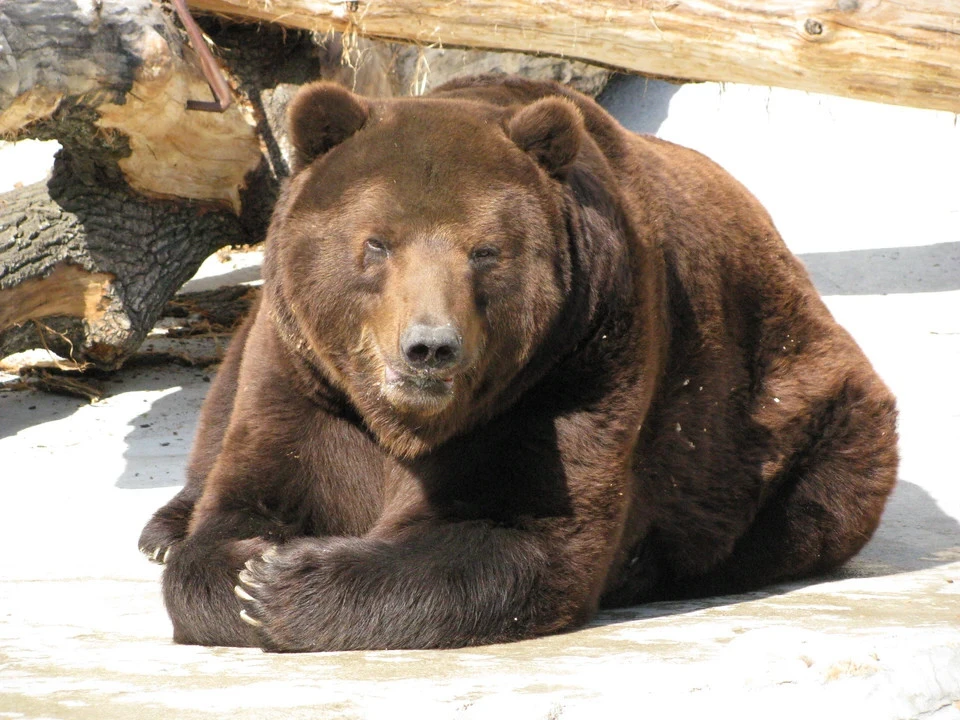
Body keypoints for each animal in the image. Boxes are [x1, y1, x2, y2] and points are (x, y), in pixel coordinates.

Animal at [139, 74, 898, 652]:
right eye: (377, 243)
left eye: (485, 251)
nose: (430, 346)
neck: (404, 424)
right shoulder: (312, 384)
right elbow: (244, 505)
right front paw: (245, 567)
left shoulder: (576, 366)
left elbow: (524, 536)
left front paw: (282, 582)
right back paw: (162, 529)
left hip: (806, 404)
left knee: (811, 495)